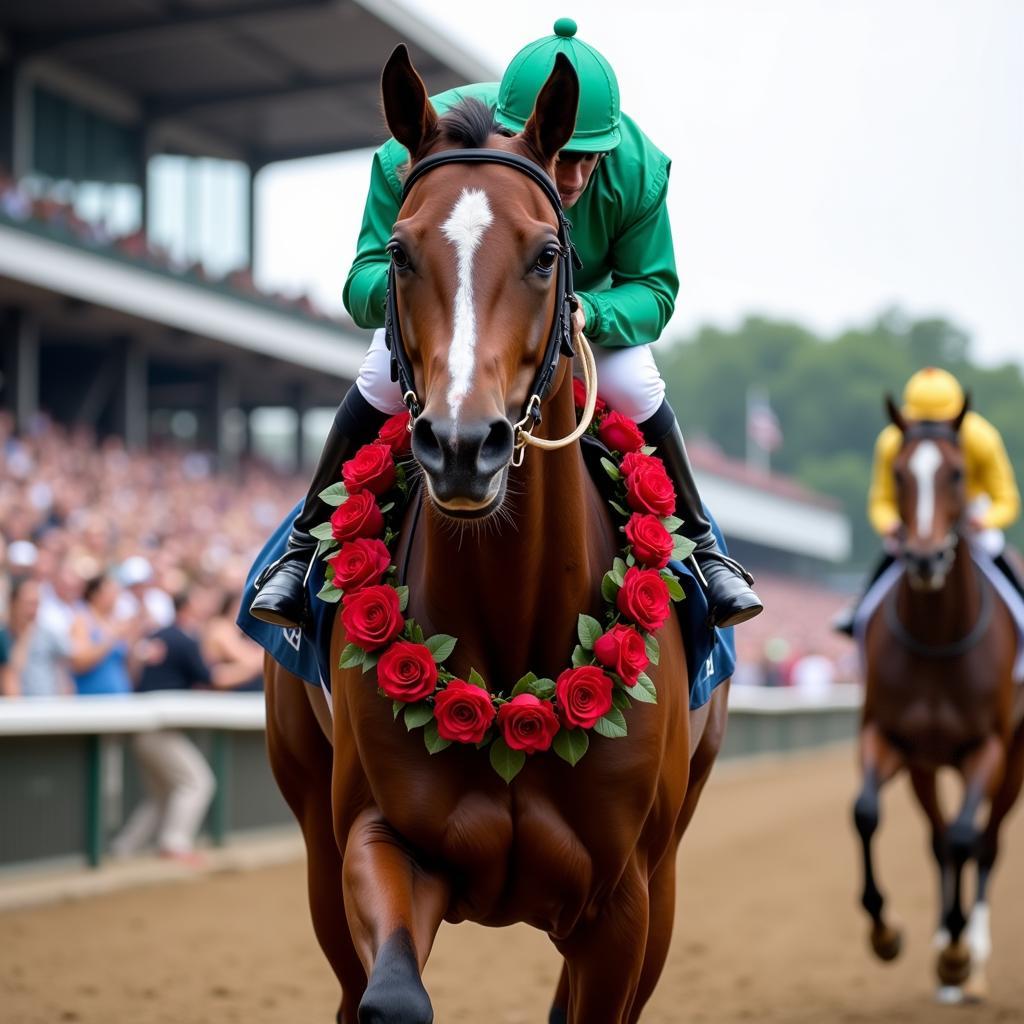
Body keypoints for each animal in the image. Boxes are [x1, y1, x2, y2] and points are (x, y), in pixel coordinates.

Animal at [856, 397, 1024, 999]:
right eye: (899, 473)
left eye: (956, 473)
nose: (925, 560)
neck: (935, 639)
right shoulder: (888, 737)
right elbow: (866, 813)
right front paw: (885, 930)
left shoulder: (988, 748)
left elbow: (966, 837)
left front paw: (957, 951)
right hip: (926, 766)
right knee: (934, 836)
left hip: (1015, 759)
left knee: (987, 841)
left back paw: (971, 954)